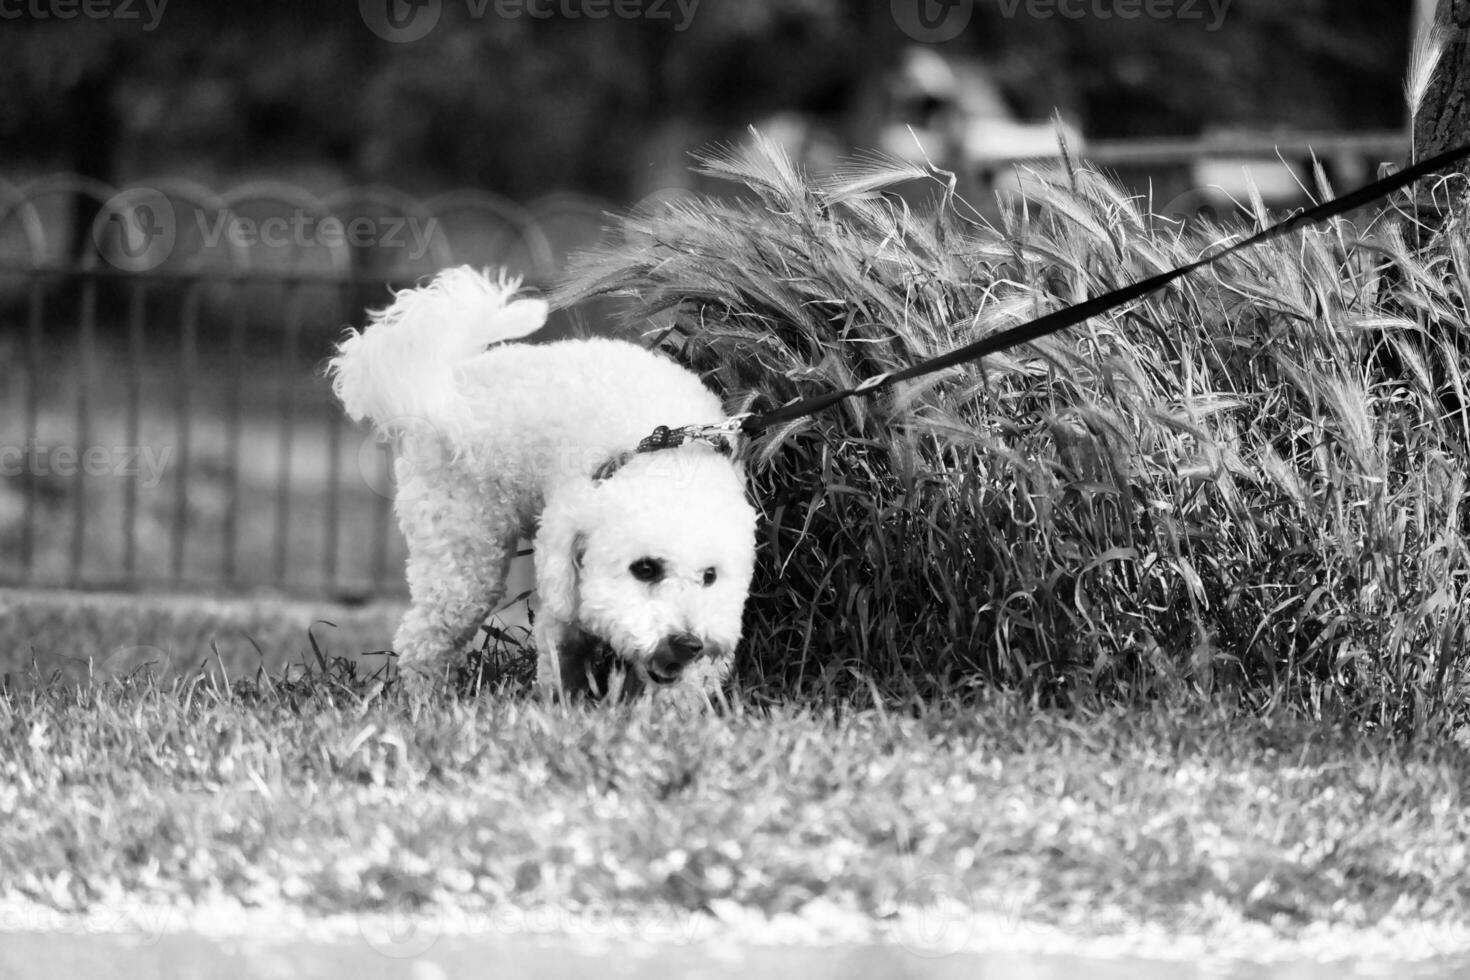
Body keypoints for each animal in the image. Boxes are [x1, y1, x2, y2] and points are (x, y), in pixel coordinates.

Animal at [330, 264, 758, 702]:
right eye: (645, 569)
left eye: (710, 576)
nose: (688, 642)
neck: (667, 459)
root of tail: (453, 378)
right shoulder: (561, 567)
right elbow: (561, 654)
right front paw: (564, 705)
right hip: (464, 556)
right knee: (426, 637)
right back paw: (426, 699)